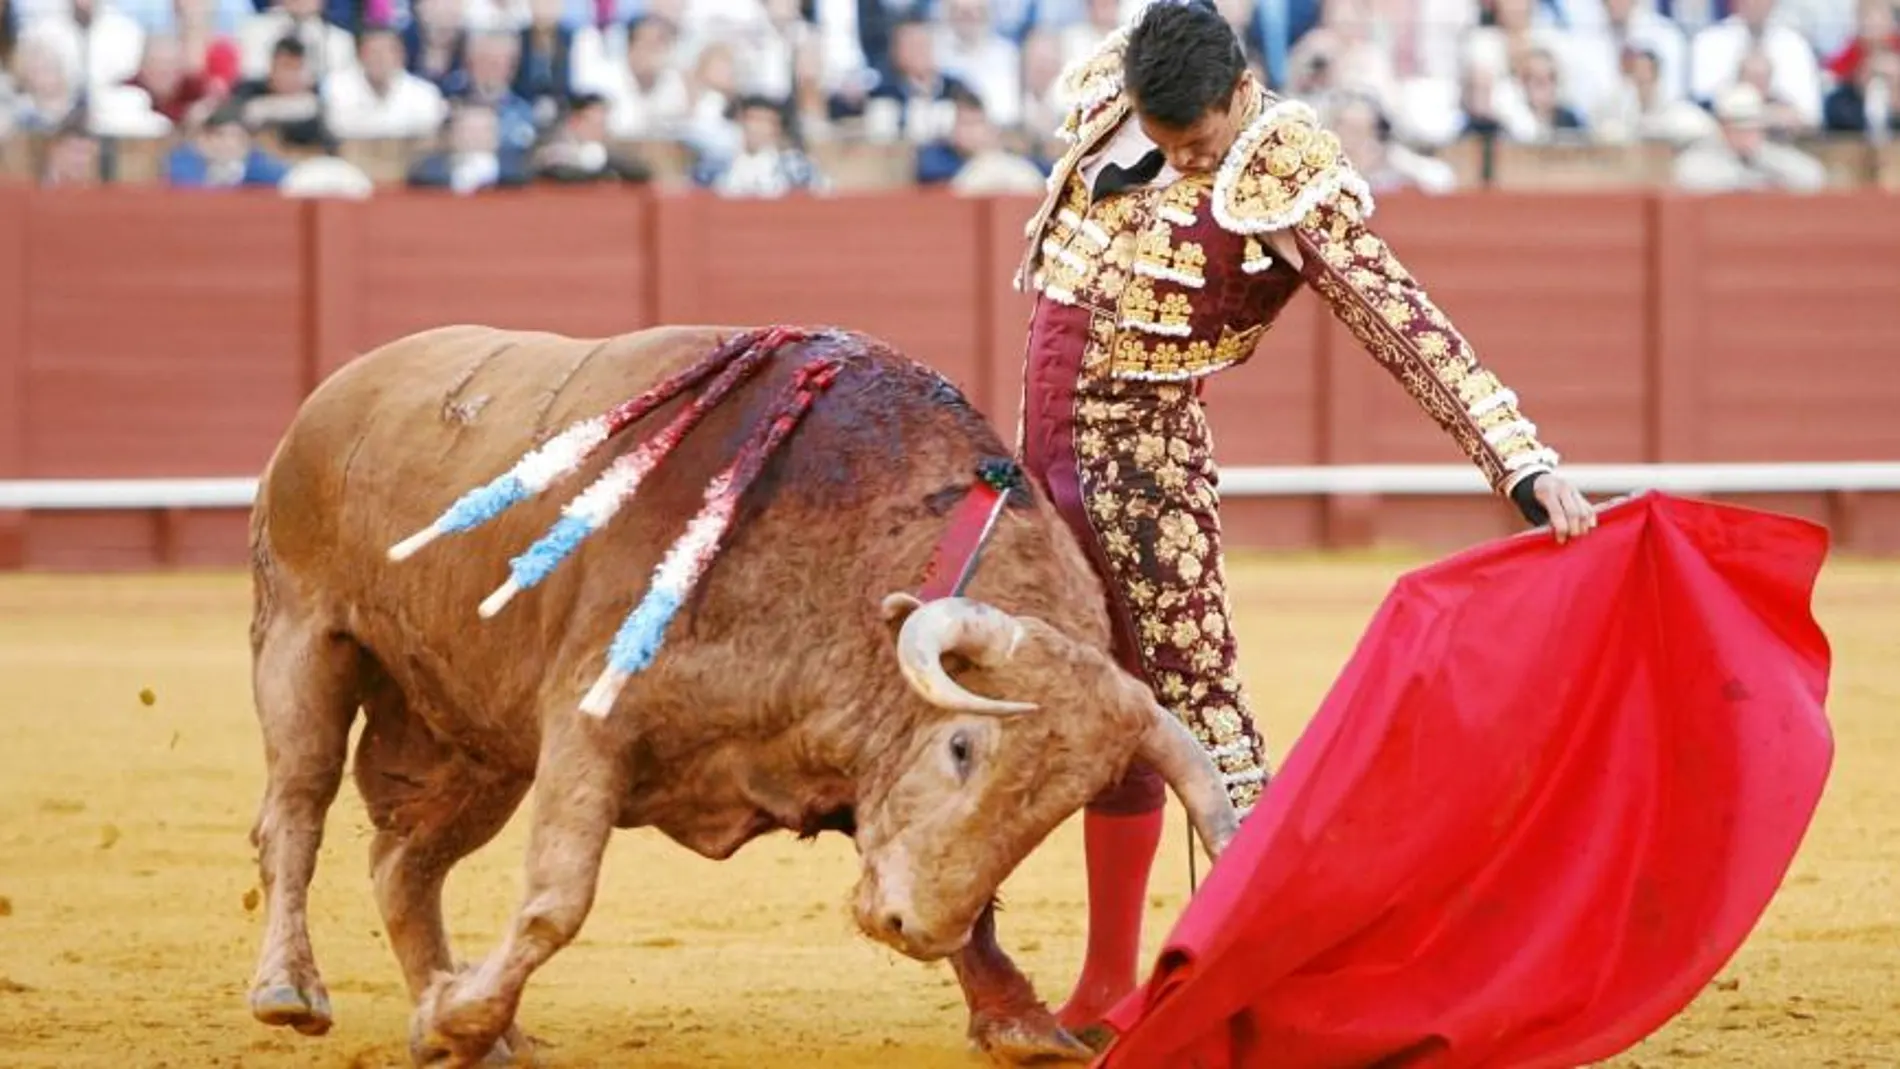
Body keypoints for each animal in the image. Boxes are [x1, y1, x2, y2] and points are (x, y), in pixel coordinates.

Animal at [245, 322, 1238, 1063]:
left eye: (1059, 807)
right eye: (963, 746)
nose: (912, 928)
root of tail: (344, 386)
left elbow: (967, 905)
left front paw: (1023, 1023)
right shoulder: (587, 721)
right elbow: (559, 897)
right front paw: (454, 1013)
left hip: (475, 736)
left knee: (403, 864)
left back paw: (476, 1034)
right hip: (304, 638)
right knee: (296, 810)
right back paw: (293, 989)